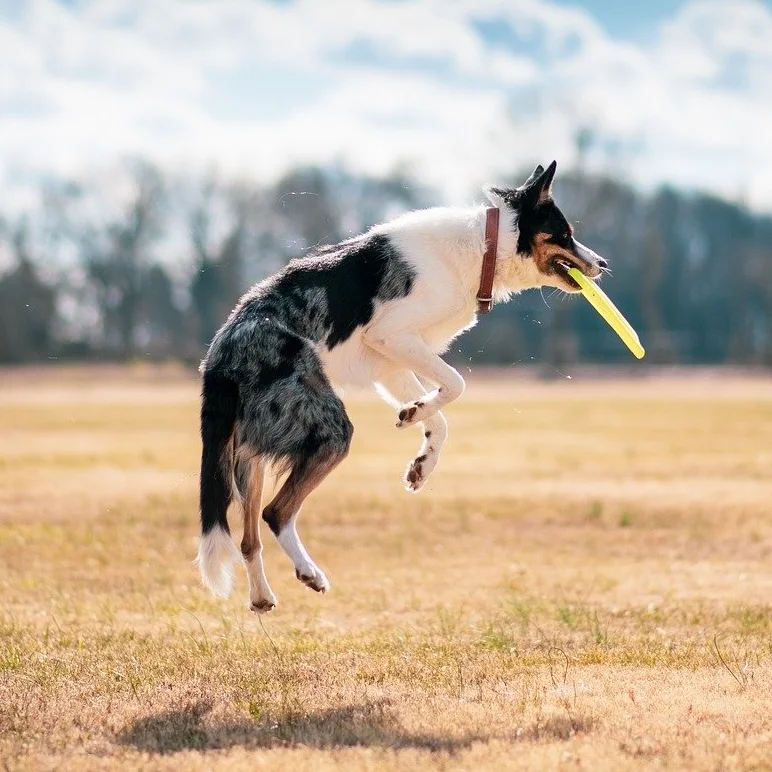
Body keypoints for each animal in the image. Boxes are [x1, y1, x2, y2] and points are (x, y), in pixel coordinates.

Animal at [196, 160, 608, 612]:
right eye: (565, 233)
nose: (604, 263)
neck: (483, 248)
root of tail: (221, 354)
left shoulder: (392, 362)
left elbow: (440, 420)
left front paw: (420, 456)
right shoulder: (392, 336)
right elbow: (457, 384)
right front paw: (417, 415)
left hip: (250, 453)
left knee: (248, 536)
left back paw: (262, 596)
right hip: (328, 429)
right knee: (275, 512)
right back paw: (309, 572)